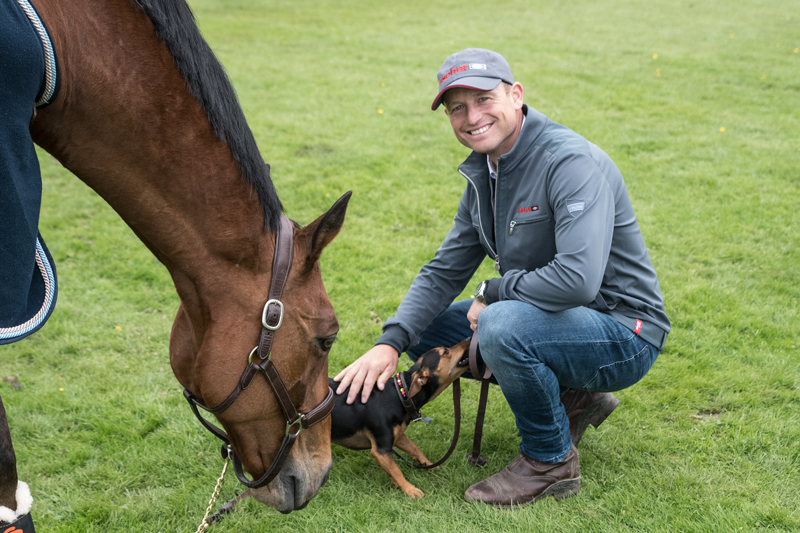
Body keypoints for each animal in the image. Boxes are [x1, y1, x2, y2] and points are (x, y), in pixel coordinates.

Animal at [328, 338, 472, 496]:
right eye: (445, 351)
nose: (469, 339)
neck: (400, 395)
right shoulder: (381, 450)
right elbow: (396, 471)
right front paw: (410, 490)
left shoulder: (397, 436)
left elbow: (414, 448)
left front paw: (428, 465)